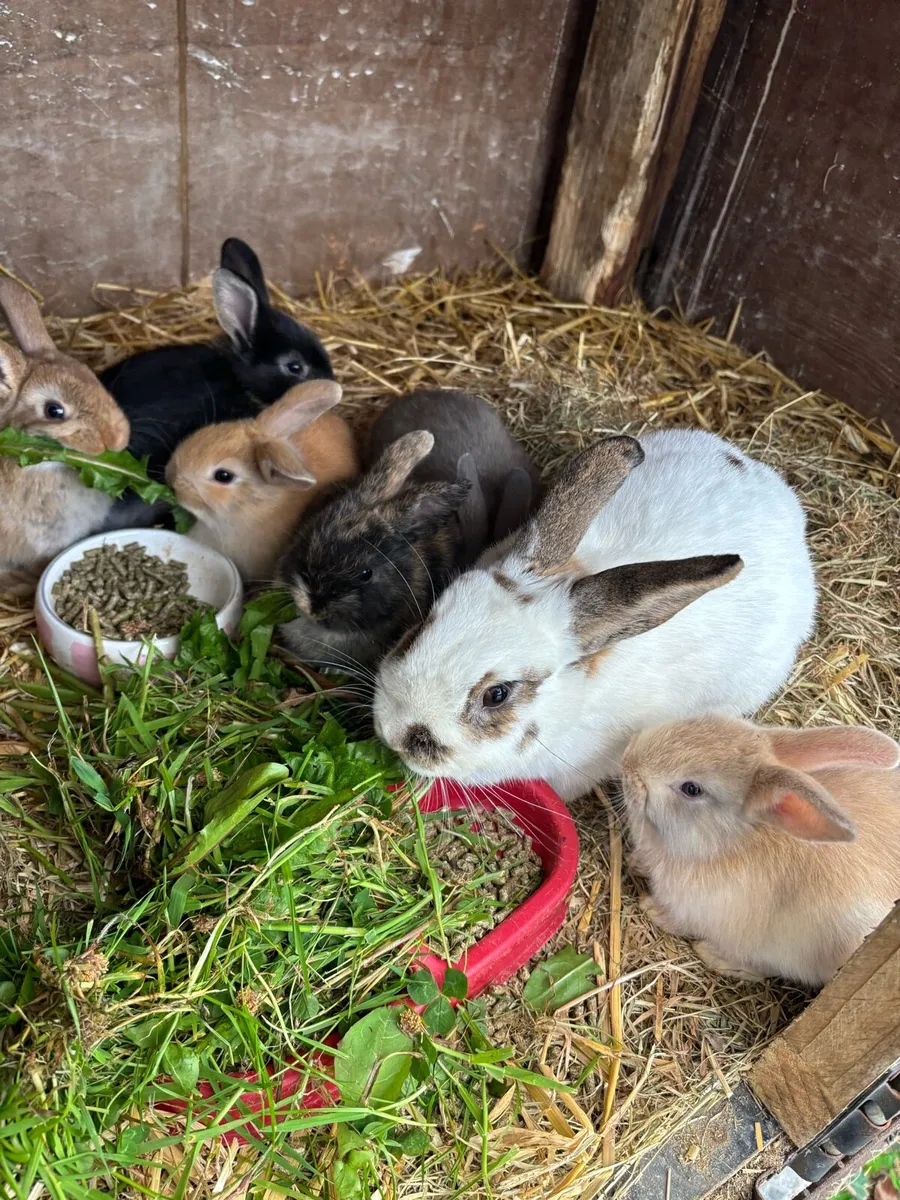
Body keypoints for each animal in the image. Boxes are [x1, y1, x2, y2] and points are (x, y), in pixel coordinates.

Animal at [620, 714, 900, 986]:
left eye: (692, 789)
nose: (627, 763)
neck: (723, 843)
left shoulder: (696, 911)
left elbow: (678, 921)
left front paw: (650, 908)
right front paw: (635, 862)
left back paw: (714, 956)